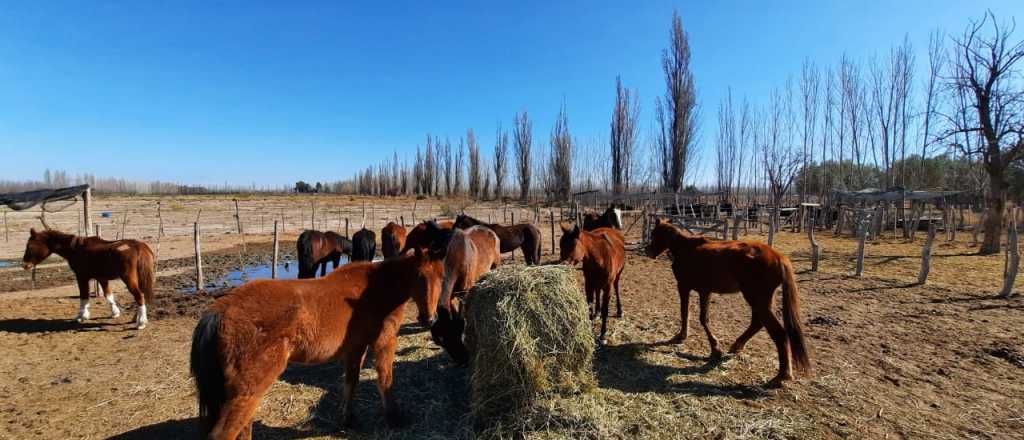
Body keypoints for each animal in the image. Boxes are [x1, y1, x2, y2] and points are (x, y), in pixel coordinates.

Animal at [22, 228, 154, 327]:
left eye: (30, 246)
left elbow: (84, 296)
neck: (75, 248)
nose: (25, 265)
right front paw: (115, 313)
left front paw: (81, 316)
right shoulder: (101, 278)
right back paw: (137, 318)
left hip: (128, 278)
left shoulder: (82, 277)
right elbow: (108, 295)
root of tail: (138, 246)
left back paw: (141, 323)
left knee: (139, 295)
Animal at [191, 247, 444, 435]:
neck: (376, 289)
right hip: (249, 389)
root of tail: (221, 309)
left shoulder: (355, 349)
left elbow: (351, 383)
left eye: (442, 277)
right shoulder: (384, 343)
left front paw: (347, 420)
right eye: (420, 276)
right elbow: (385, 380)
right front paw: (394, 418)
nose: (429, 319)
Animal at [425, 223, 501, 364]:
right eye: (442, 342)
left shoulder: (463, 293)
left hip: (495, 266)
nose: (462, 360)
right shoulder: (450, 295)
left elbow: (460, 316)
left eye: (457, 335)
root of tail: (488, 229)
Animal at [643, 217, 811, 386]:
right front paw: (715, 349)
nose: (648, 250)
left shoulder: (684, 287)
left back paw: (782, 375)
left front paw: (682, 337)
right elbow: (703, 318)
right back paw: (737, 346)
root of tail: (779, 257)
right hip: (760, 301)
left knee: (778, 333)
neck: (685, 248)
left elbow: (685, 313)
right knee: (757, 323)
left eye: (655, 234)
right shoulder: (705, 291)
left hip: (756, 299)